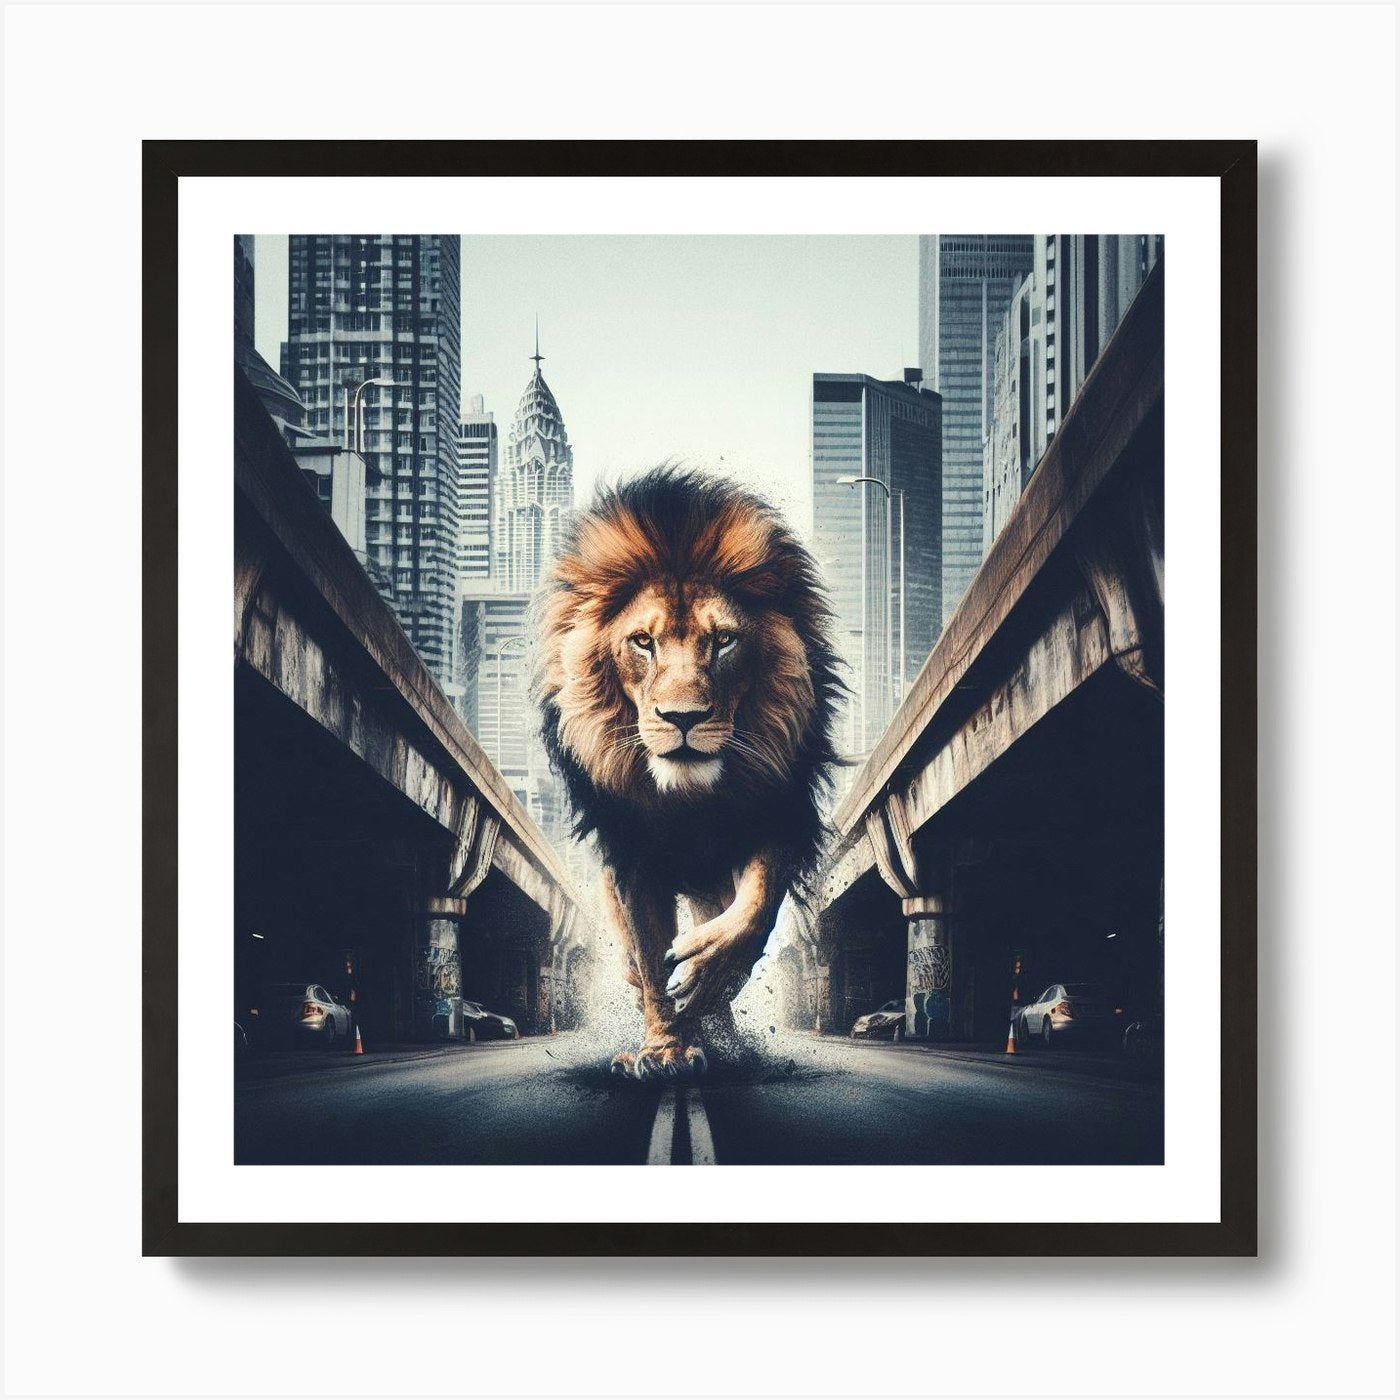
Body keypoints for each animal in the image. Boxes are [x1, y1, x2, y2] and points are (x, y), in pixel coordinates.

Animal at [535, 467, 843, 1079]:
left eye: (723, 640)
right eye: (643, 642)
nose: (682, 718)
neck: (691, 802)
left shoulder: (776, 813)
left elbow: (752, 909)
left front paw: (707, 975)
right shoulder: (635, 859)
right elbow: (654, 960)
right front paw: (664, 1051)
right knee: (636, 964)